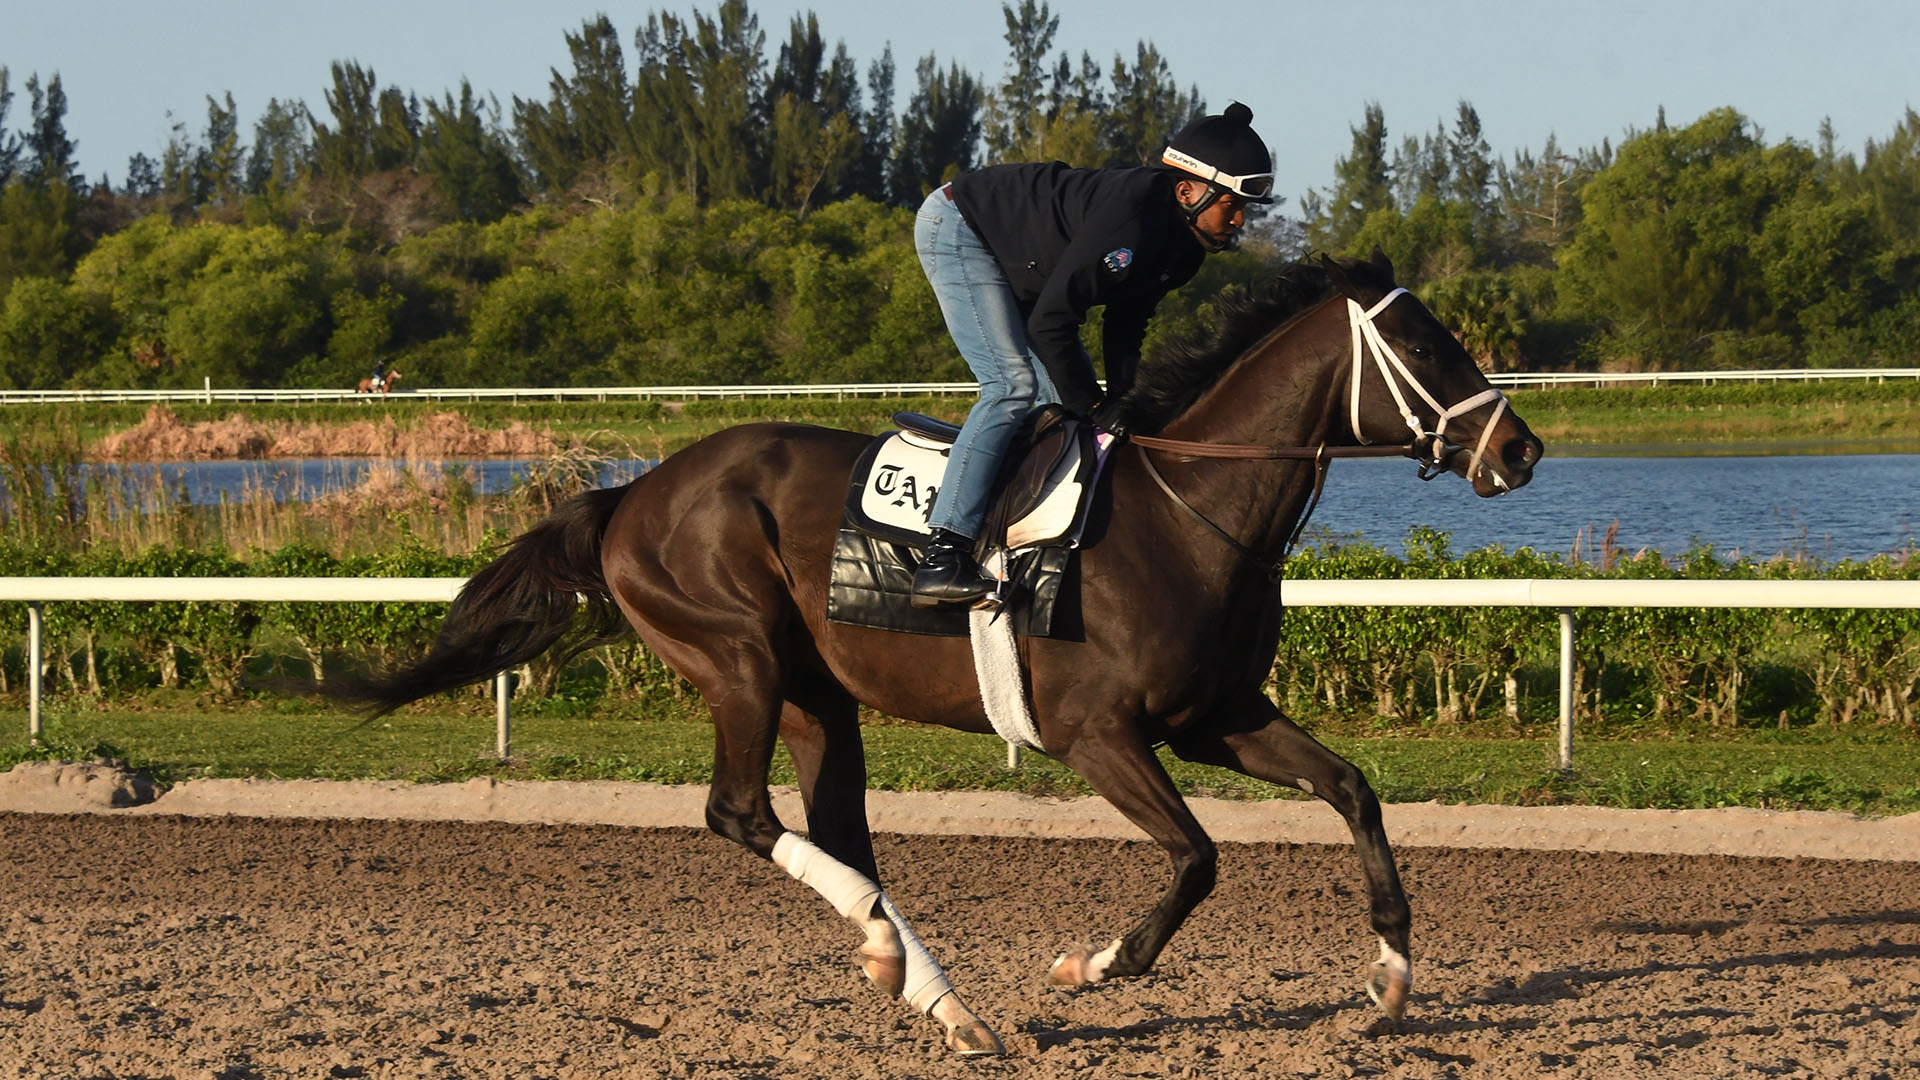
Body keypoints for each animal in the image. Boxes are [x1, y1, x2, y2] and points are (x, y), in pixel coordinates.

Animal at [326, 251, 1543, 1053]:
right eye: (1425, 346)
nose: (1522, 449)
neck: (1186, 512)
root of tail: (632, 495)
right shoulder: (1097, 734)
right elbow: (1199, 857)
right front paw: (1095, 963)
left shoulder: (1218, 716)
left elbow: (1354, 789)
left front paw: (1391, 981)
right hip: (737, 657)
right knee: (740, 814)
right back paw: (899, 961)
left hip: (820, 696)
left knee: (841, 833)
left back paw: (933, 993)